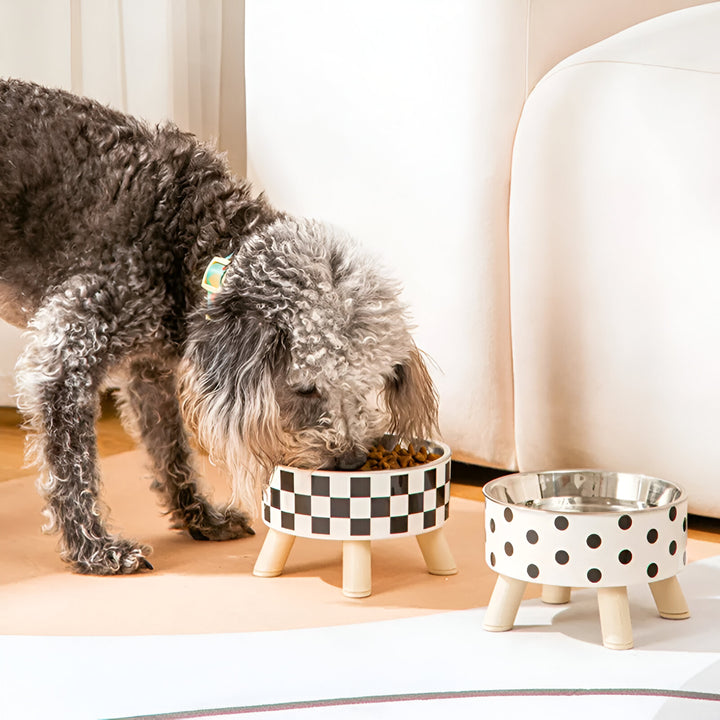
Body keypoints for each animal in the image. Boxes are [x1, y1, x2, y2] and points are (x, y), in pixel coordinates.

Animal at [0, 77, 438, 572]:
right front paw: (93, 548)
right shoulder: (63, 357)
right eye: (305, 389)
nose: (348, 460)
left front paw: (199, 517)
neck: (188, 234)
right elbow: (71, 466)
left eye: (364, 387)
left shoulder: (150, 370)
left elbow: (170, 449)